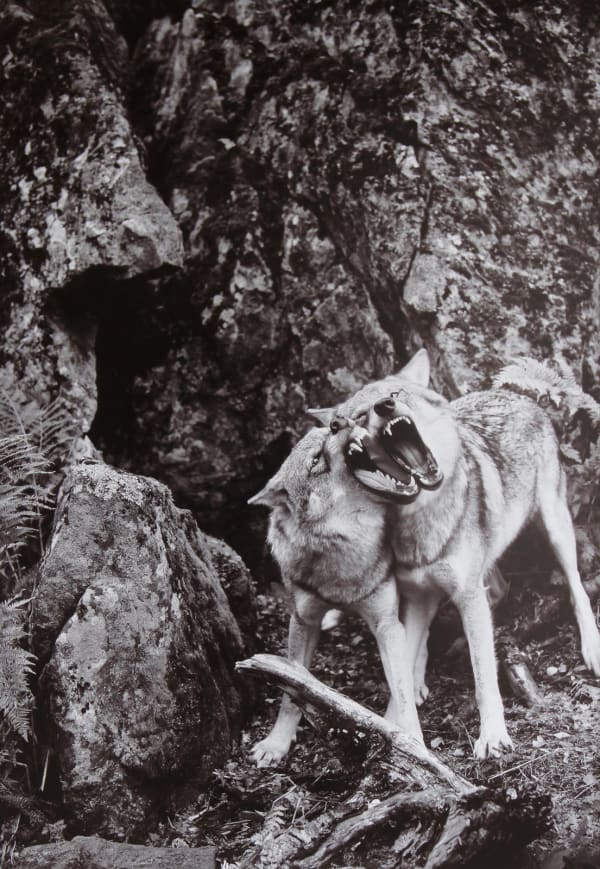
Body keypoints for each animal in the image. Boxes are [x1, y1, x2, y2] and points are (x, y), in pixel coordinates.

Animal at [248, 423, 424, 767]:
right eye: (315, 461)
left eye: (324, 431)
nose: (337, 422)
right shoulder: (302, 622)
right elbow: (291, 693)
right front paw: (277, 743)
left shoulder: (386, 624)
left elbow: (403, 694)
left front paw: (416, 747)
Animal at [312, 349, 600, 758]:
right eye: (359, 416)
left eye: (395, 393)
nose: (386, 406)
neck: (419, 518)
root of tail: (514, 393)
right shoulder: (418, 593)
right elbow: (404, 663)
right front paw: (397, 725)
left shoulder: (465, 592)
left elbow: (483, 678)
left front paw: (492, 736)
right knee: (493, 592)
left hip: (555, 525)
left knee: (575, 587)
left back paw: (590, 645)